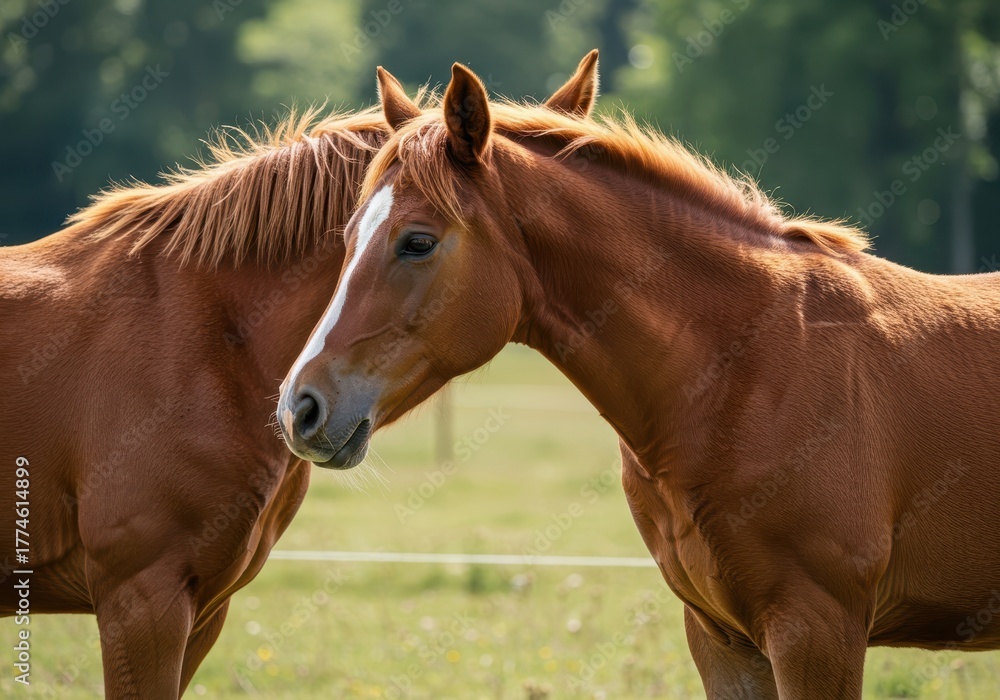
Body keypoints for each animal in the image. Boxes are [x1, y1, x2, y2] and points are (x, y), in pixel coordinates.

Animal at [0, 58, 599, 699]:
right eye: (351, 239)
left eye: (417, 242)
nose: (301, 409)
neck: (209, 339)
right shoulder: (140, 601)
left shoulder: (202, 610)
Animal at [277, 59, 1000, 699]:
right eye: (348, 235)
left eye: (418, 241)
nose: (299, 408)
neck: (754, 368)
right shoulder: (724, 639)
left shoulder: (816, 632)